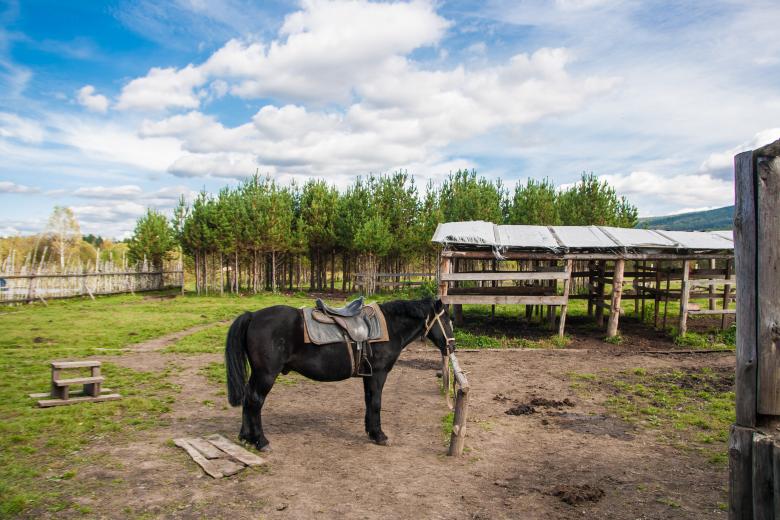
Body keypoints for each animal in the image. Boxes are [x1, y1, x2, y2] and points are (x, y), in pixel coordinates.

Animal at [225, 297, 456, 451]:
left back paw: (245, 437)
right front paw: (379, 435)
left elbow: (369, 400)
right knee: (255, 401)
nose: (452, 347)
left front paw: (370, 431)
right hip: (266, 375)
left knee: (248, 398)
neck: (390, 326)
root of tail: (253, 316)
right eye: (446, 321)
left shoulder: (368, 375)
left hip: (258, 374)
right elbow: (376, 402)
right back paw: (260, 441)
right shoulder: (379, 373)